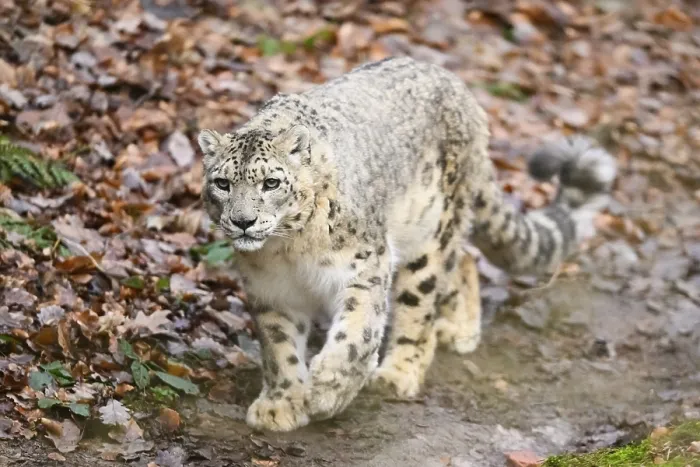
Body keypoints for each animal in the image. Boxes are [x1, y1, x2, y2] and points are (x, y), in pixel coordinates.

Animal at [197, 56, 617, 432]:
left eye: (271, 183)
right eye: (223, 183)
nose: (243, 221)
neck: (287, 250)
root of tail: (459, 87)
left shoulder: (366, 264)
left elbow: (358, 333)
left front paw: (329, 388)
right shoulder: (270, 290)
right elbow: (278, 346)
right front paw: (281, 404)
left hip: (431, 232)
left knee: (423, 299)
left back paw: (399, 372)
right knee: (465, 260)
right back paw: (459, 329)